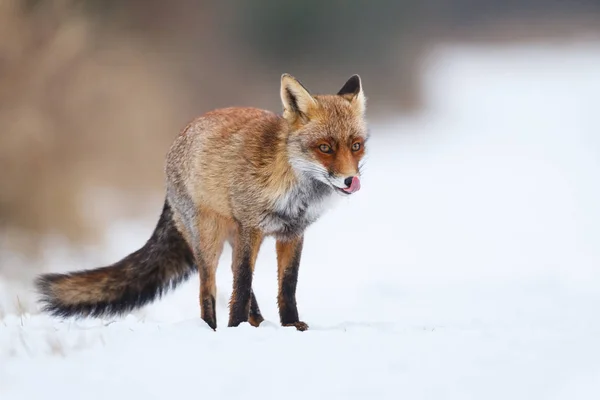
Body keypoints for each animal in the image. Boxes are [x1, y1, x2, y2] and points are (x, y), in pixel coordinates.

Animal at [36, 74, 370, 332]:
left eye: (356, 146)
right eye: (325, 148)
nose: (350, 180)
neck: (292, 187)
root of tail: (179, 137)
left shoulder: (292, 233)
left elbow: (287, 286)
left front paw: (290, 326)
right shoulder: (252, 228)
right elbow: (242, 283)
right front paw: (235, 328)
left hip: (233, 237)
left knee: (237, 282)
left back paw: (258, 324)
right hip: (210, 241)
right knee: (209, 290)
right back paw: (215, 327)